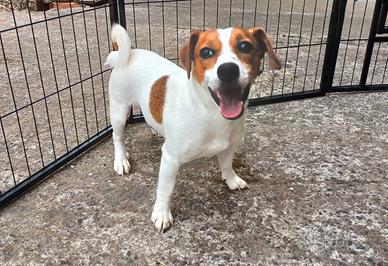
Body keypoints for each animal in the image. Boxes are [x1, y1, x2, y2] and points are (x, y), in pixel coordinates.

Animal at [106, 25, 280, 233]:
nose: (228, 70)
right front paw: (162, 213)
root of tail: (127, 54)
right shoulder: (170, 158)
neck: (210, 113)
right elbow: (165, 189)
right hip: (119, 111)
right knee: (117, 137)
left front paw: (231, 180)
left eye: (245, 46)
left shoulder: (229, 147)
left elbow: (226, 165)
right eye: (206, 52)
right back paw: (121, 160)